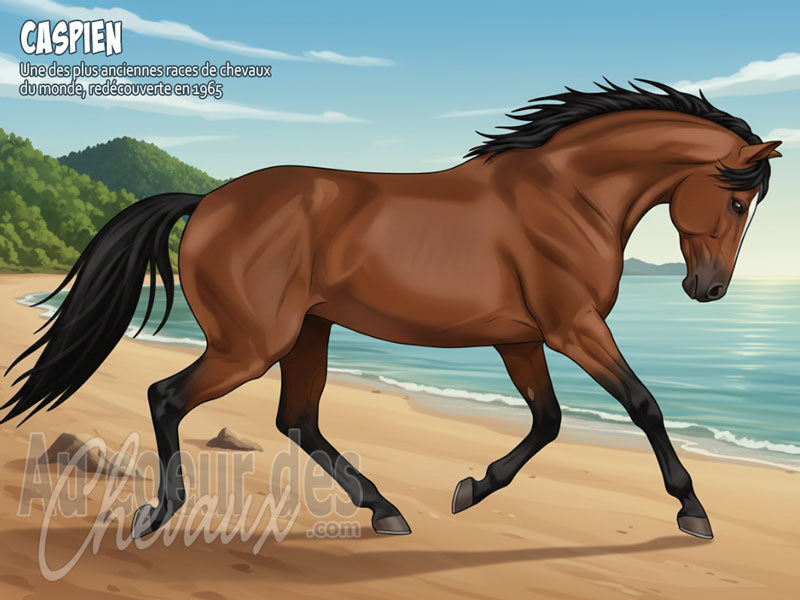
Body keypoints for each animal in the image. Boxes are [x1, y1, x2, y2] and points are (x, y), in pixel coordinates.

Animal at [2, 80, 781, 541]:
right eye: (737, 199)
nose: (709, 289)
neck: (566, 197)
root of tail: (210, 200)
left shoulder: (521, 339)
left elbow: (548, 421)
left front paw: (471, 488)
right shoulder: (575, 328)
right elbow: (642, 404)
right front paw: (693, 510)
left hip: (306, 332)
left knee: (298, 419)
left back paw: (386, 510)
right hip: (252, 343)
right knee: (168, 396)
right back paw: (161, 513)